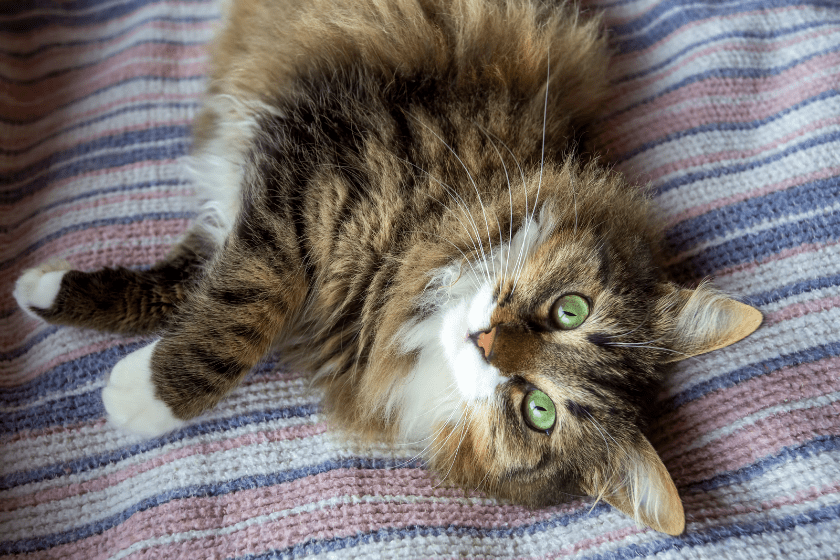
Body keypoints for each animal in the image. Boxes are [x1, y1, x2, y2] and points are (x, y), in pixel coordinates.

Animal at [13, 0, 760, 536]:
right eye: (570, 310)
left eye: (538, 411)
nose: (488, 339)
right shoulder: (309, 167)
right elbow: (240, 309)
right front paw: (114, 361)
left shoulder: (270, 203)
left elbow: (207, 302)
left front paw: (125, 380)